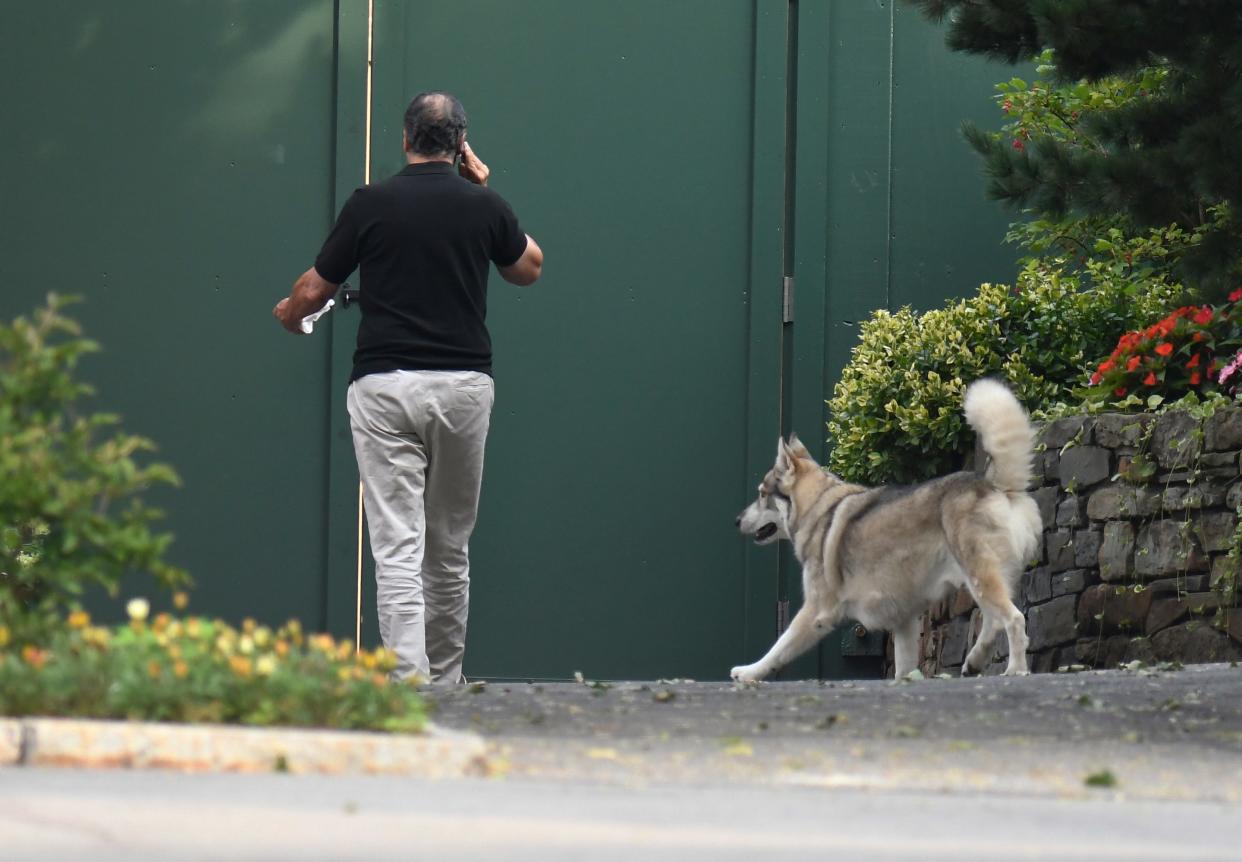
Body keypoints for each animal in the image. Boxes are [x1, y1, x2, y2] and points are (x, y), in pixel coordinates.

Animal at [730, 377, 1043, 680]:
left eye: (761, 494)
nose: (736, 520)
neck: (818, 505)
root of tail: (992, 483)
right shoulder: (904, 620)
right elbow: (904, 665)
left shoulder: (816, 611)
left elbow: (778, 649)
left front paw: (749, 672)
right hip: (985, 579)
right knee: (992, 622)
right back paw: (976, 660)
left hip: (980, 575)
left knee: (1013, 619)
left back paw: (1016, 668)